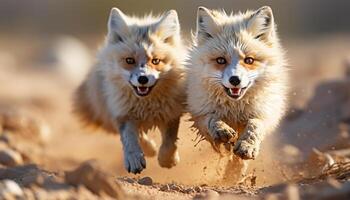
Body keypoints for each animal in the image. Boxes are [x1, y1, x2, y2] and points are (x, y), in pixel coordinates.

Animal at [73, 7, 187, 173]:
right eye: (129, 60)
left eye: (156, 61)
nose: (143, 79)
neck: (146, 106)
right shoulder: (123, 114)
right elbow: (131, 139)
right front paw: (135, 158)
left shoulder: (170, 112)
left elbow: (170, 142)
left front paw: (167, 159)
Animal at [187, 6, 288, 179]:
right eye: (221, 60)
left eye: (249, 60)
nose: (235, 80)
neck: (234, 108)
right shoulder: (199, 112)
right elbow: (212, 119)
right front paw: (222, 130)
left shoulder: (263, 113)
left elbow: (254, 127)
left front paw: (246, 148)